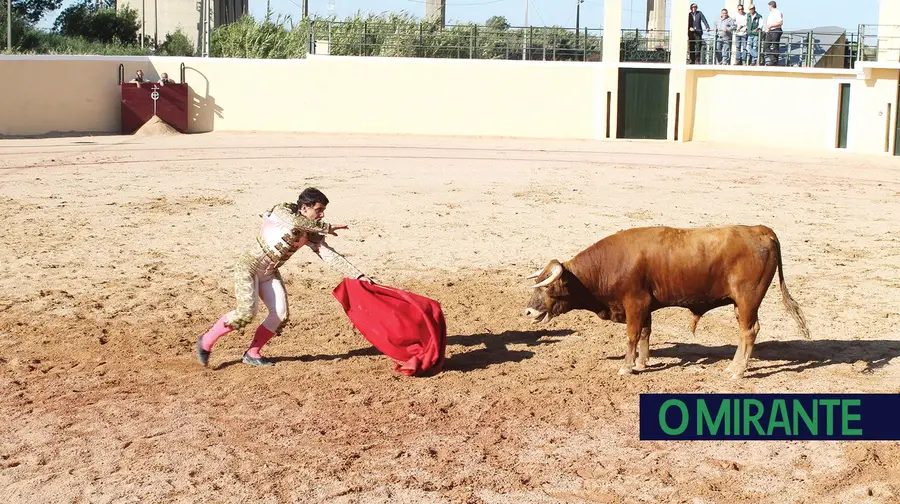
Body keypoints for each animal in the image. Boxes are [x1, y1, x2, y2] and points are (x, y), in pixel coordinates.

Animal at [520, 224, 808, 378]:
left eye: (549, 286)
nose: (528, 311)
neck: (608, 264)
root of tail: (761, 230)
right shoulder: (645, 306)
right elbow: (646, 334)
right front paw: (641, 362)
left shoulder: (634, 304)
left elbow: (632, 336)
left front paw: (627, 367)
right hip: (740, 304)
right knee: (744, 332)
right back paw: (733, 367)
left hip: (748, 300)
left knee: (749, 332)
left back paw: (737, 371)